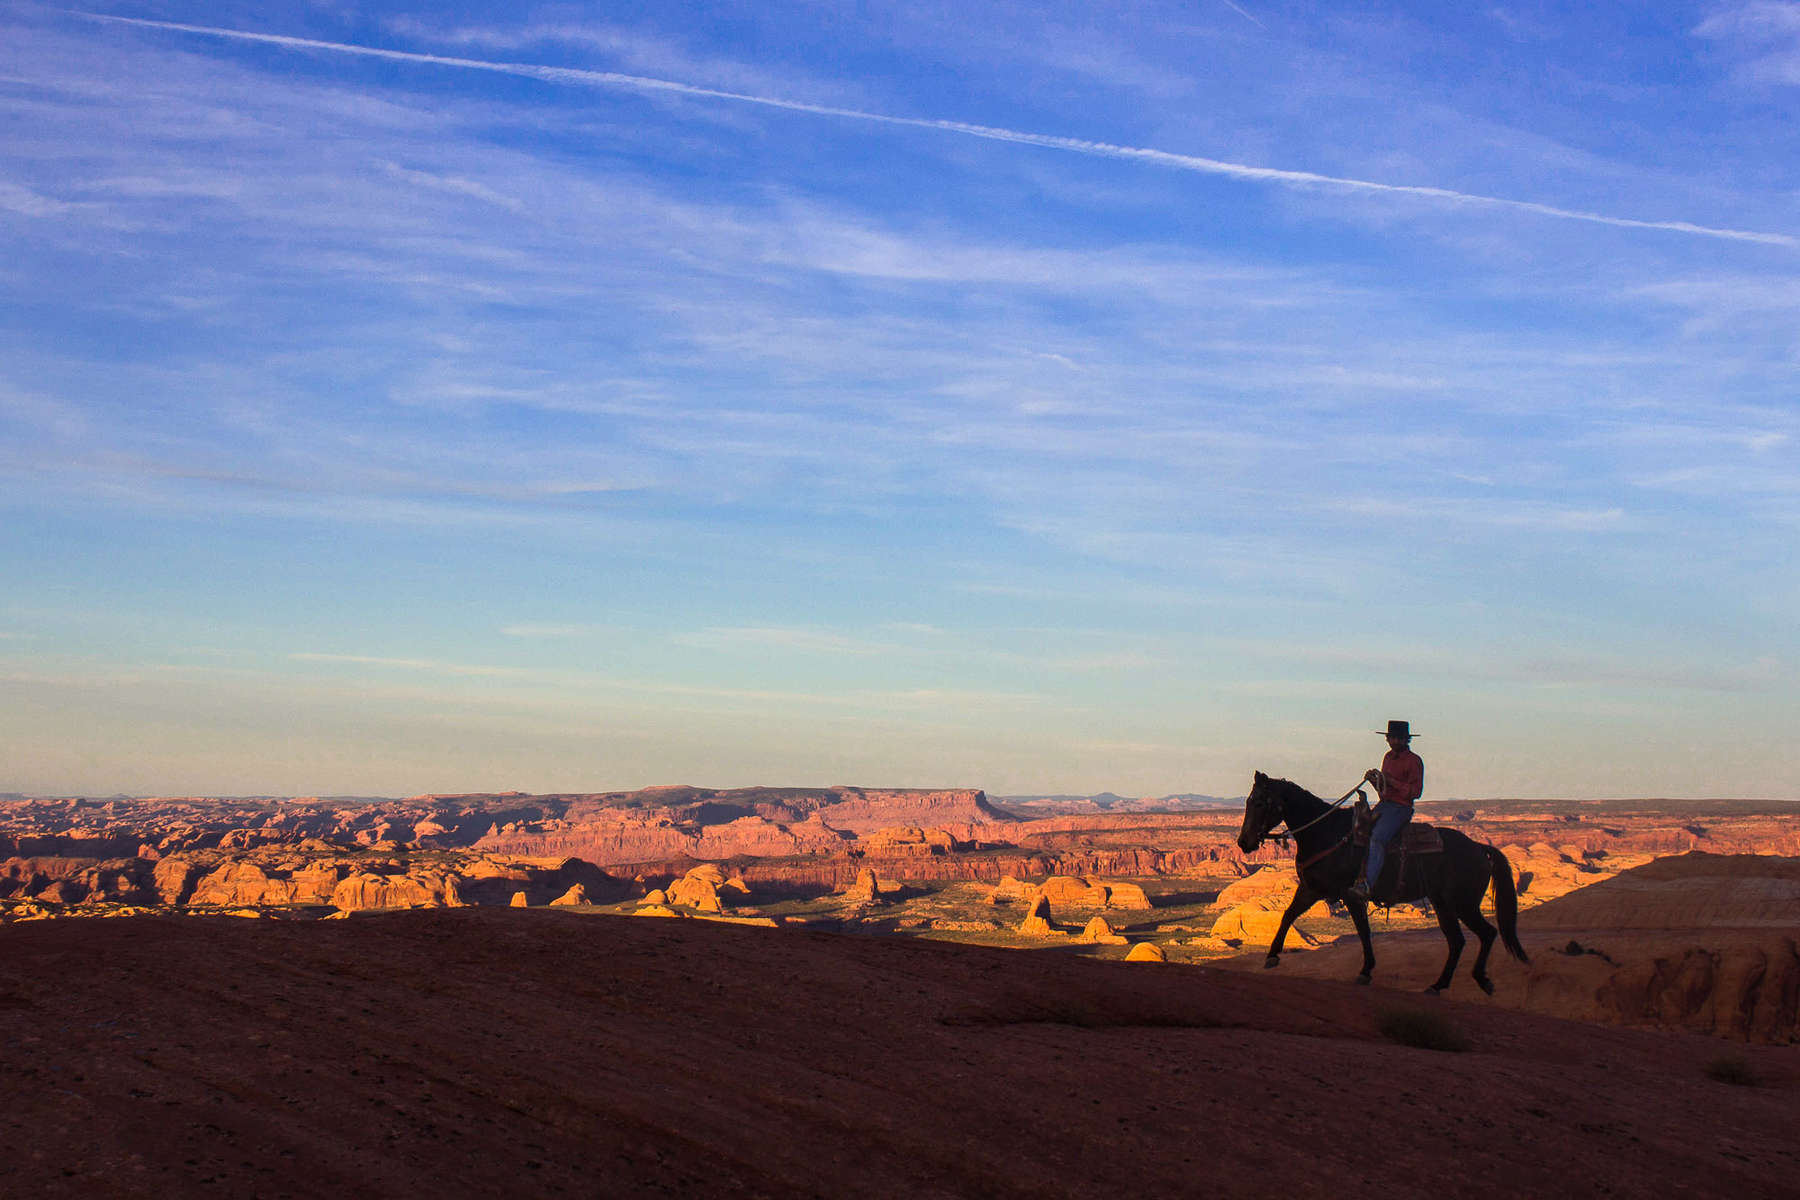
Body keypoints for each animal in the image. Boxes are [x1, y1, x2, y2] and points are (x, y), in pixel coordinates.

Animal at [1245, 773, 1526, 1000]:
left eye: (1259, 803)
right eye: (1247, 802)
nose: (1243, 842)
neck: (1327, 833)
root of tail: (1479, 848)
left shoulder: (1351, 895)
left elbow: (1363, 931)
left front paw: (1366, 970)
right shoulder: (1310, 889)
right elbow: (1288, 915)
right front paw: (1272, 956)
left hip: (1462, 903)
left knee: (1482, 934)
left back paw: (1472, 980)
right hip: (1444, 903)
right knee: (1461, 940)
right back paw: (1444, 984)